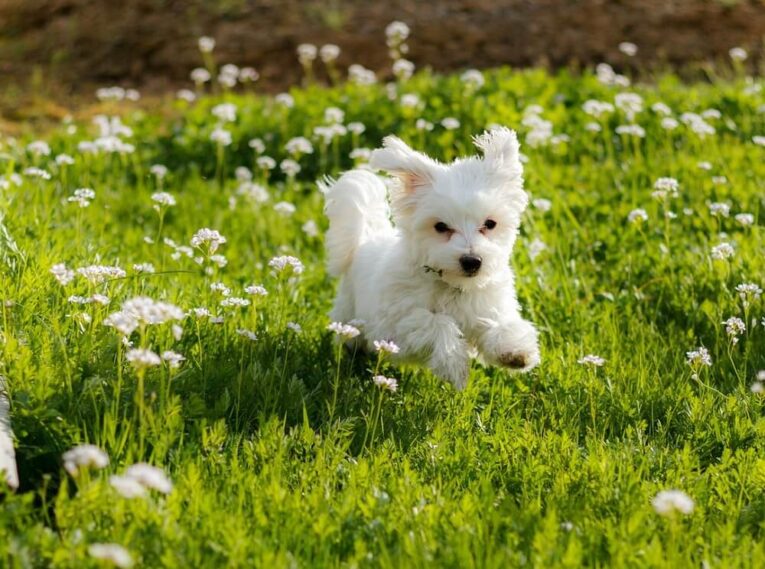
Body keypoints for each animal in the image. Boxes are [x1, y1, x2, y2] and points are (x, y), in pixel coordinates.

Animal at [320, 126, 540, 388]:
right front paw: (454, 365)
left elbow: (499, 322)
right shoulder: (395, 328)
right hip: (351, 314)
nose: (472, 261)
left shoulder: (487, 303)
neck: (452, 286)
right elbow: (436, 322)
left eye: (490, 224)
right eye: (440, 226)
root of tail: (366, 239)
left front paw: (515, 351)